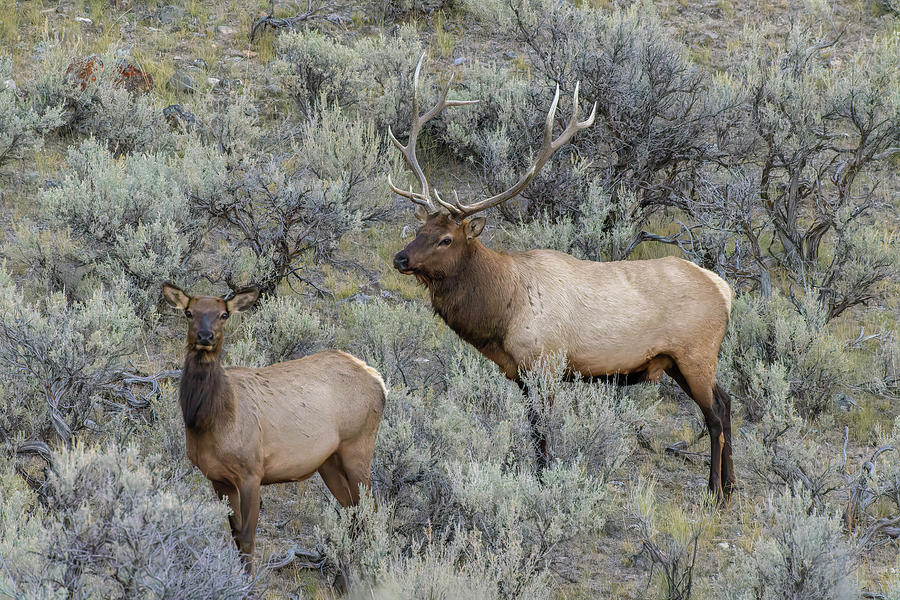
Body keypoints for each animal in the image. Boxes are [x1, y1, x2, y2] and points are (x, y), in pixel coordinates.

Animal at [162, 284, 386, 568]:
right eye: (189, 312)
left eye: (224, 314)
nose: (205, 335)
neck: (211, 421)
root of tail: (379, 381)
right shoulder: (217, 478)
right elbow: (235, 537)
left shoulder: (251, 472)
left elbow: (247, 539)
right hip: (329, 462)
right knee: (353, 516)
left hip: (358, 446)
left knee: (370, 517)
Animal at [384, 55, 732, 496]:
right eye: (420, 229)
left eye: (446, 238)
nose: (400, 259)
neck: (502, 312)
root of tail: (725, 290)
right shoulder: (520, 374)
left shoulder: (547, 364)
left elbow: (543, 433)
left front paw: (544, 482)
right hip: (680, 361)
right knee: (728, 402)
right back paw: (732, 486)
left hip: (696, 354)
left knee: (716, 414)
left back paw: (715, 490)